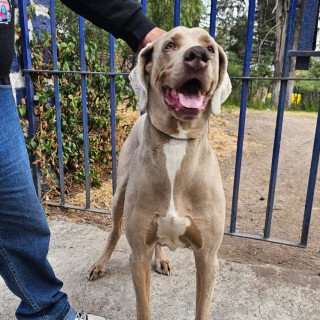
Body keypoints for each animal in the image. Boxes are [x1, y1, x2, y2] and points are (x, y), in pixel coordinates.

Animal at [88, 26, 232, 318]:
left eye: (210, 48)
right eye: (170, 45)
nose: (198, 55)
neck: (176, 141)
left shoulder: (208, 257)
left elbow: (202, 308)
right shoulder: (138, 255)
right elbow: (143, 307)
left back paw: (162, 260)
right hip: (119, 196)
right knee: (114, 232)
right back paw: (101, 264)